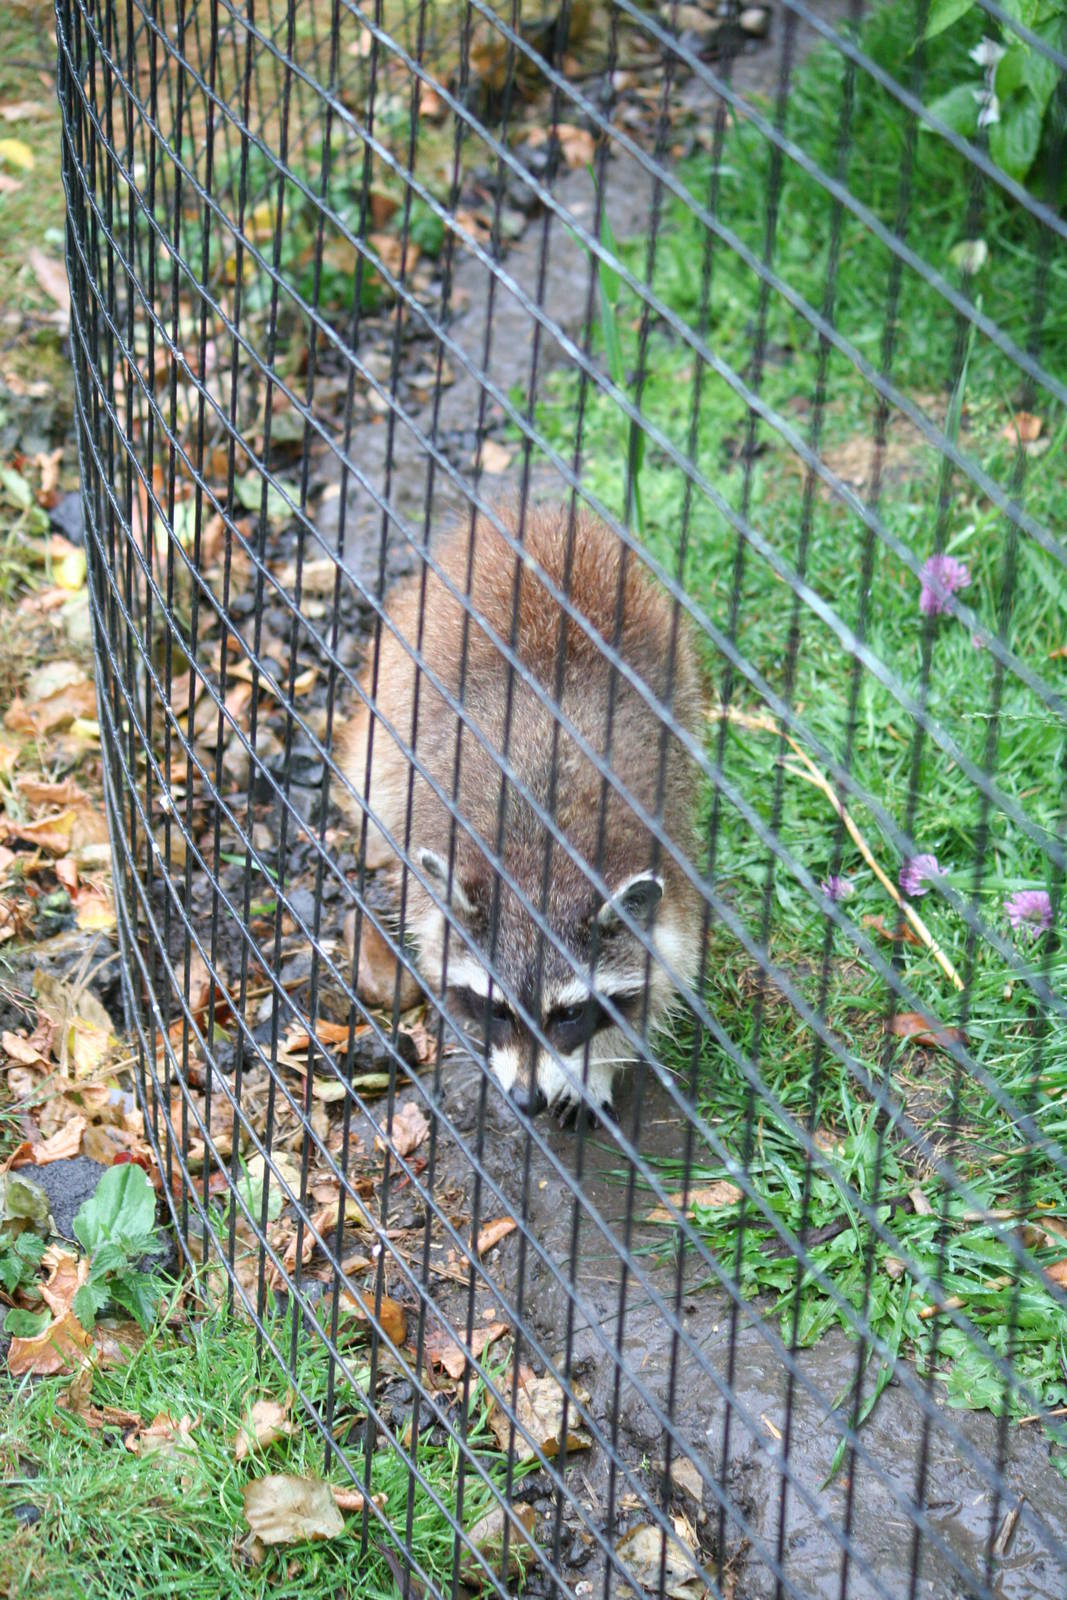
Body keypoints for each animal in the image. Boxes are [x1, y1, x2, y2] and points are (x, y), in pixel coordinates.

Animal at [337, 505, 705, 1119]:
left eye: (570, 1014)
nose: (525, 1101)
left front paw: (597, 1063)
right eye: (498, 1009)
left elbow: (661, 974)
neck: (543, 855)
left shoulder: (672, 868)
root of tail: (533, 517)